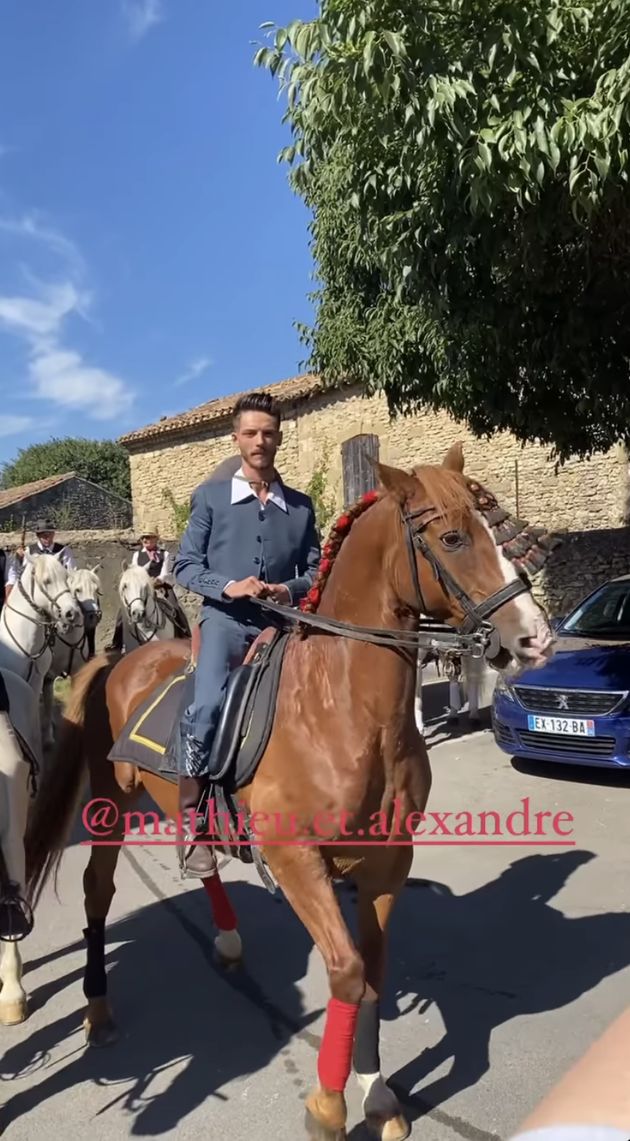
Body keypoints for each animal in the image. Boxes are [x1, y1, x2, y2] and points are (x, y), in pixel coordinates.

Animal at [41, 563, 102, 748]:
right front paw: (48, 738)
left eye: (96, 589)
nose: (93, 616)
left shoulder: (77, 673)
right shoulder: (48, 676)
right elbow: (47, 705)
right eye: (77, 590)